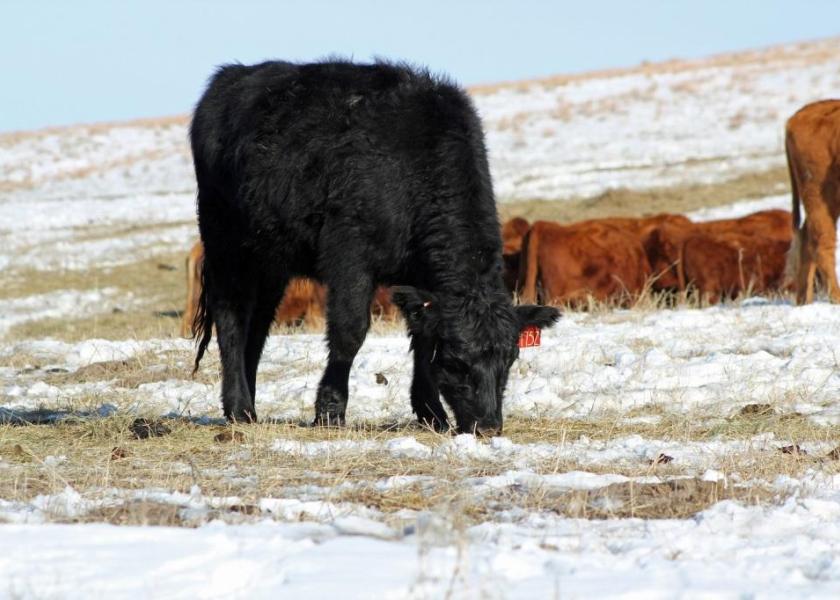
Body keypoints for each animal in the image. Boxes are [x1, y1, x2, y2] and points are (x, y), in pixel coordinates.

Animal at [189, 59, 556, 436]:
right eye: (456, 360)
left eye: (510, 358)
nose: (488, 426)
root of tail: (232, 74)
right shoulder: (350, 258)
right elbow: (350, 332)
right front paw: (330, 412)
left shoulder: (420, 282)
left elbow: (422, 339)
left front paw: (430, 413)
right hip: (225, 244)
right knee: (231, 319)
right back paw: (238, 407)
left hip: (271, 260)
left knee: (258, 324)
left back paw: (250, 408)